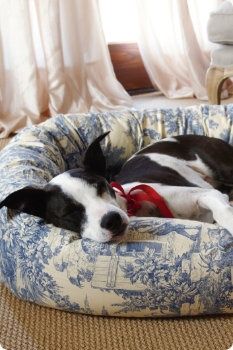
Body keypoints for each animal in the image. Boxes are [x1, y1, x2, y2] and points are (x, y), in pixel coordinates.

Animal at [1, 133, 233, 242]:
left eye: (101, 186)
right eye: (70, 212)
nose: (111, 220)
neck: (133, 204)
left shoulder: (207, 194)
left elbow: (222, 212)